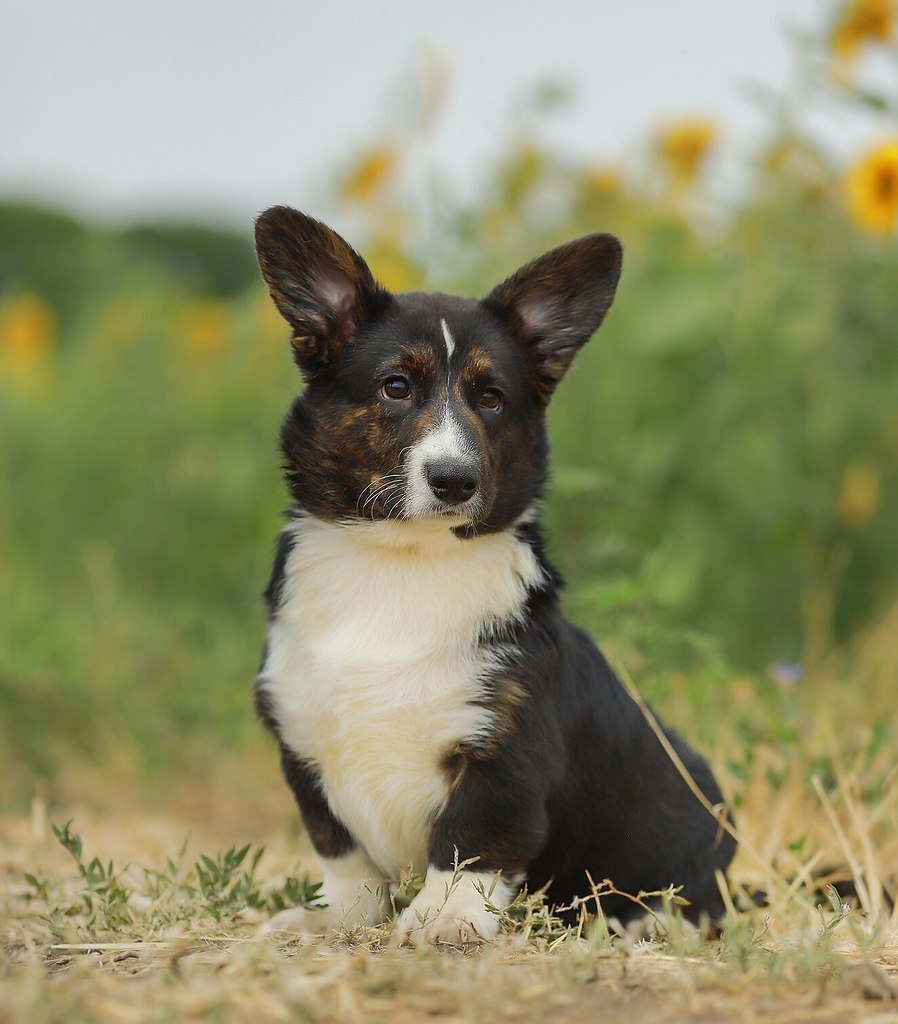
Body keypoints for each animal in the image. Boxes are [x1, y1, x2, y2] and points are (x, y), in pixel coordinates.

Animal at [251, 205, 737, 942]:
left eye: (491, 398)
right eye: (397, 386)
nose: (455, 480)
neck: (403, 564)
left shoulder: (504, 753)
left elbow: (471, 844)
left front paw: (444, 922)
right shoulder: (303, 744)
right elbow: (344, 857)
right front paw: (332, 921)